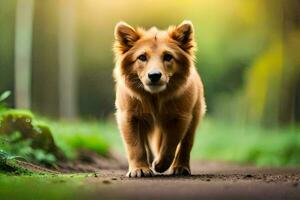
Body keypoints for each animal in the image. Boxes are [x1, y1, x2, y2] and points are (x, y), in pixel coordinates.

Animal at [113, 20, 206, 177]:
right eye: (142, 57)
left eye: (168, 56)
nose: (154, 75)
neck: (155, 98)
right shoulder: (128, 116)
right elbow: (135, 146)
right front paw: (139, 168)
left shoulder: (180, 117)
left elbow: (170, 145)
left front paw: (160, 165)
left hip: (195, 114)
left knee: (186, 144)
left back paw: (180, 167)